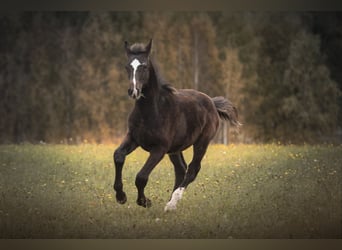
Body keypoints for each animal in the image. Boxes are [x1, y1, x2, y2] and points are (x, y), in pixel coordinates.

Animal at [113, 39, 240, 211]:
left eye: (144, 66)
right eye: (127, 66)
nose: (133, 91)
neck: (152, 111)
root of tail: (212, 103)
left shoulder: (159, 148)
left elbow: (141, 176)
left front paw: (145, 201)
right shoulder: (134, 138)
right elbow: (118, 156)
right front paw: (121, 196)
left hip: (202, 142)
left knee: (192, 169)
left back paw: (171, 204)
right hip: (175, 148)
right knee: (181, 169)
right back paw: (170, 201)